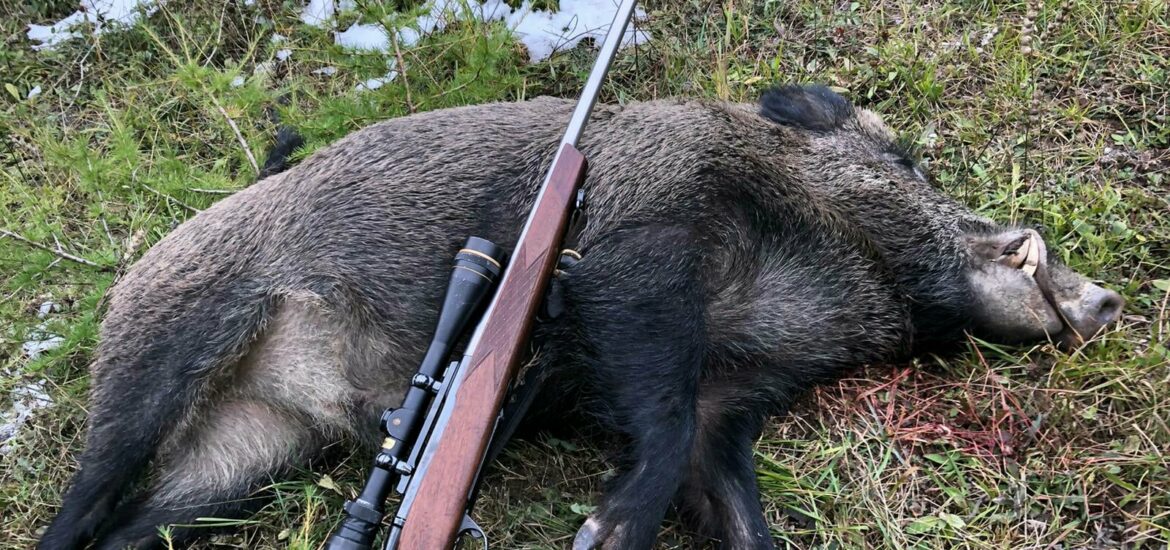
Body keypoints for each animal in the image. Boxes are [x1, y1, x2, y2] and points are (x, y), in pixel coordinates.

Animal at [36, 84, 1123, 550]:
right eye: (903, 161)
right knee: (87, 497)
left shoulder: (733, 400)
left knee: (139, 525)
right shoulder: (637, 257)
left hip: (249, 453)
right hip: (163, 347)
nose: (1108, 299)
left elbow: (731, 503)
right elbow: (661, 424)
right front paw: (601, 534)